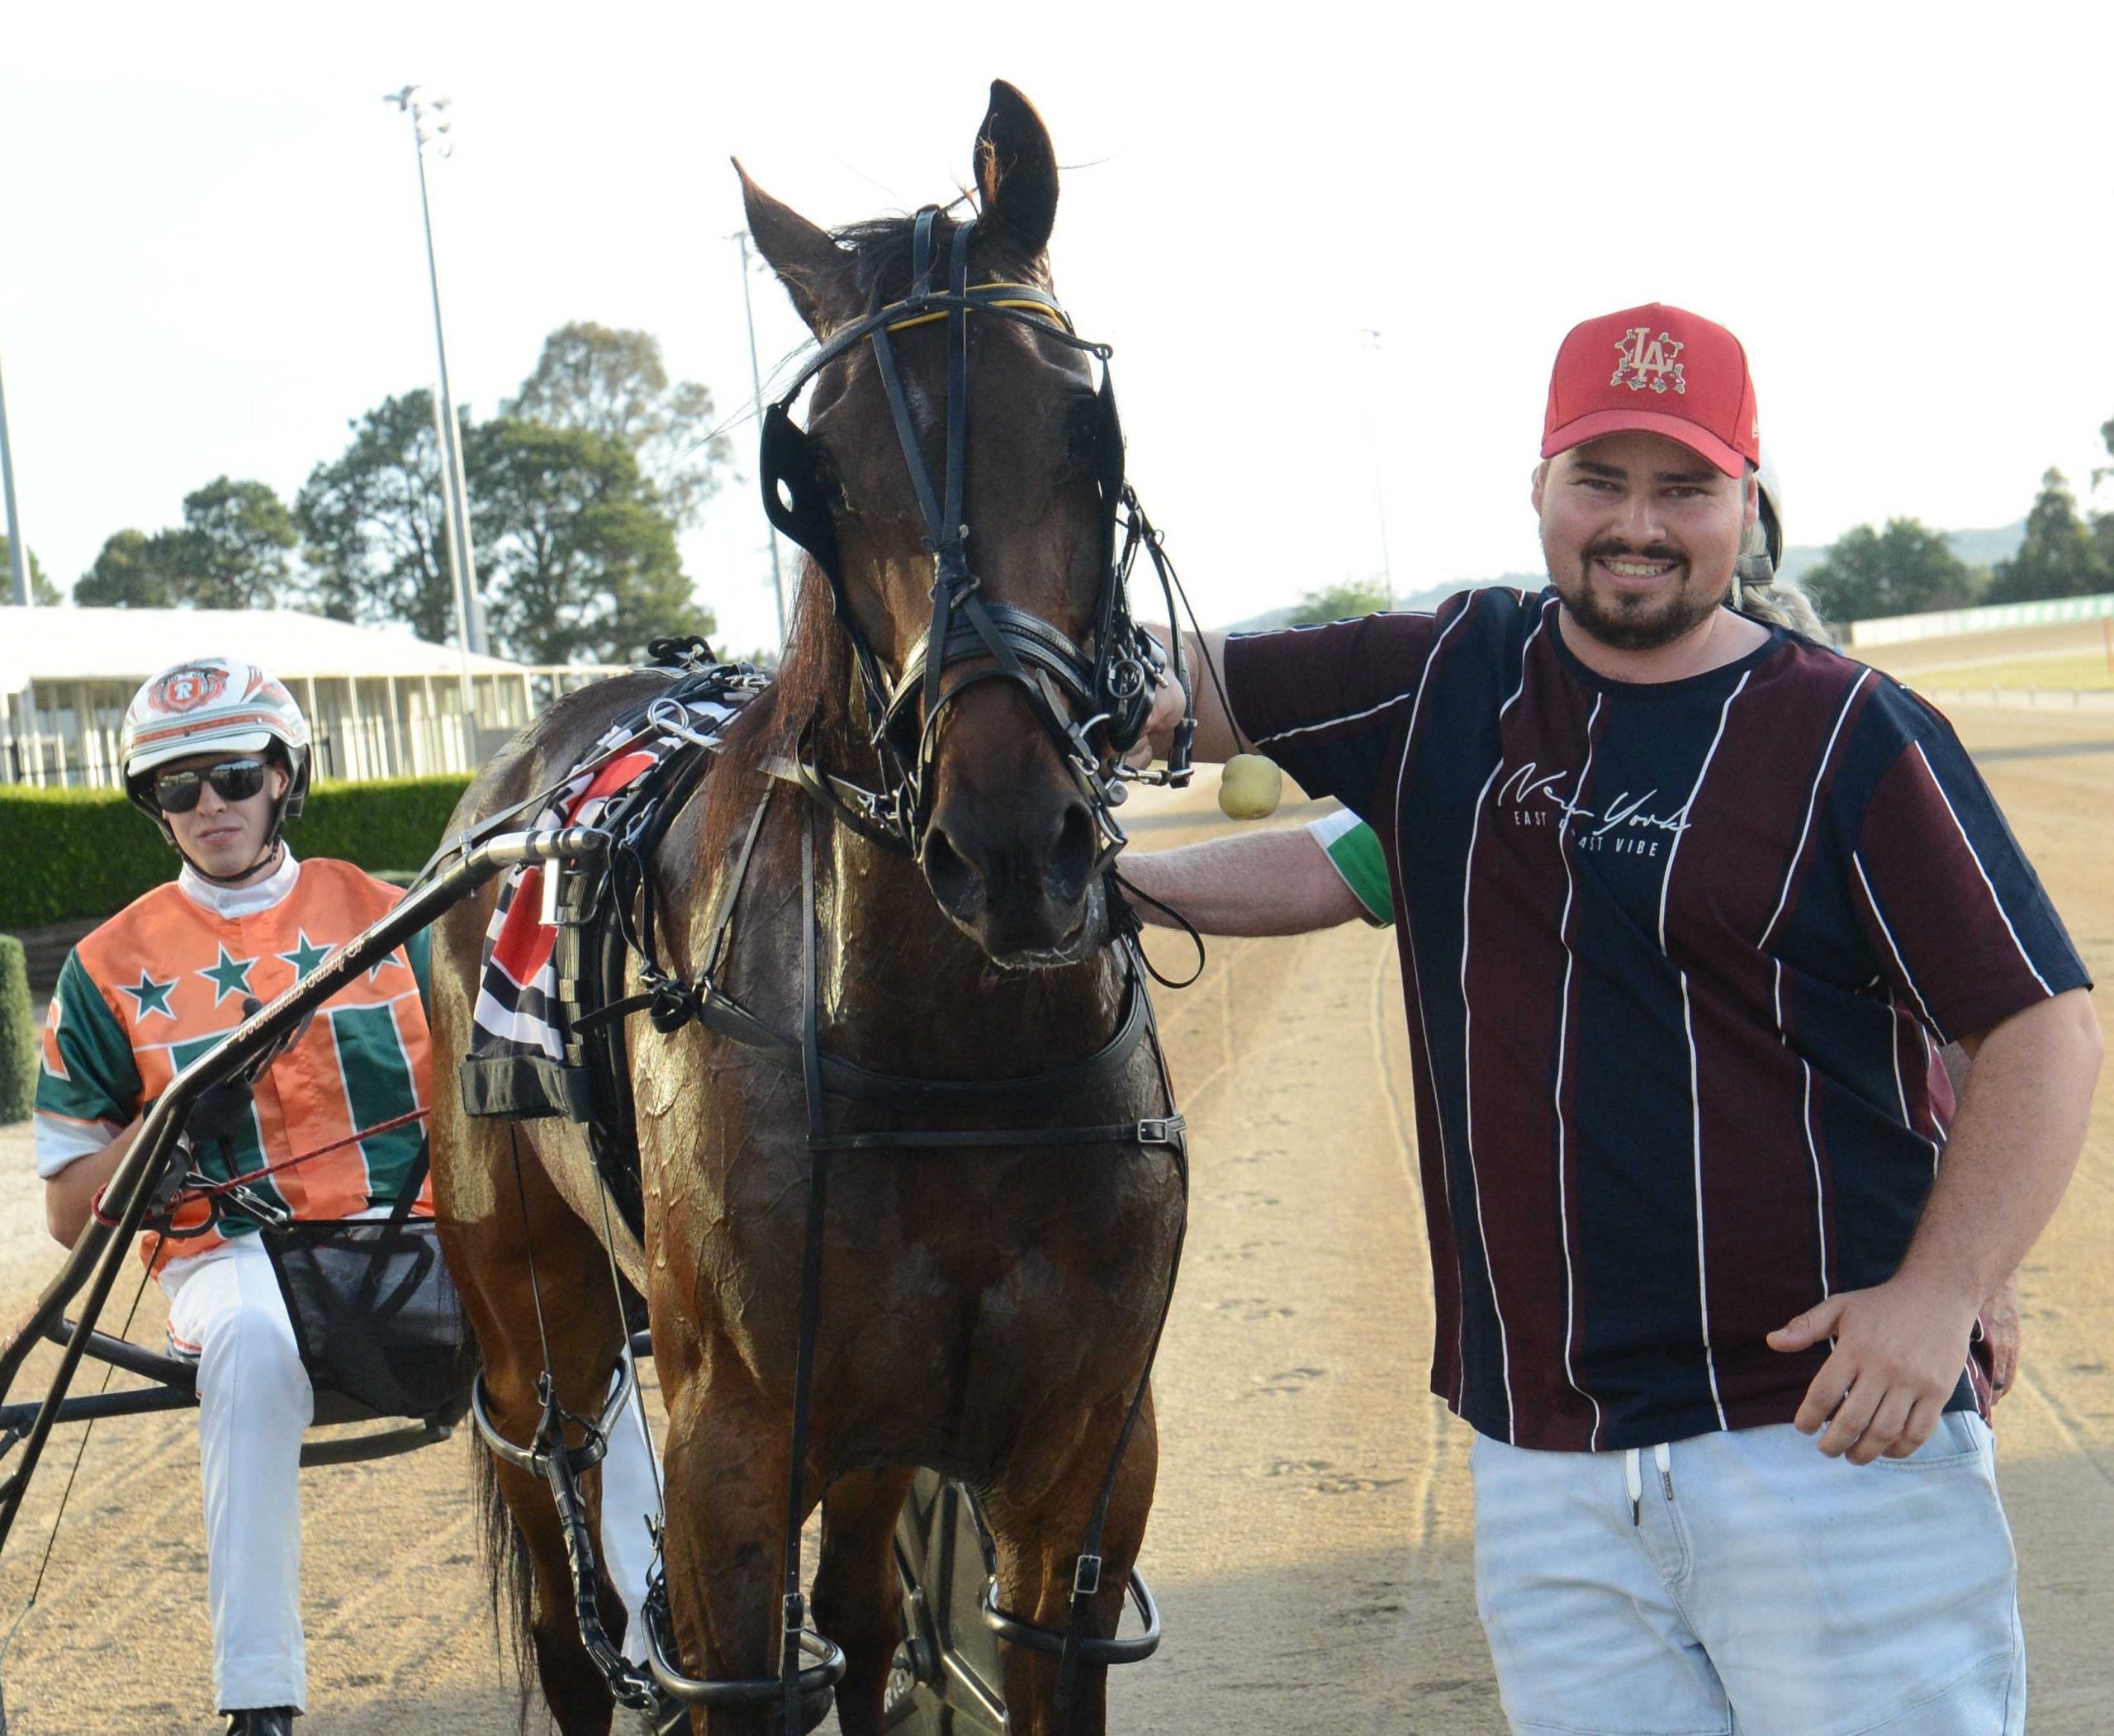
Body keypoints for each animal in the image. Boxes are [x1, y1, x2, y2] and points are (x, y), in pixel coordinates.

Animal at [424, 84, 1192, 1734]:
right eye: (813, 475)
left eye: (1085, 428)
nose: (1012, 845)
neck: (958, 1060)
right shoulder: (731, 1451)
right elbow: (736, 1652)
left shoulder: (1084, 1460)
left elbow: (940, 1621)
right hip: (528, 1320)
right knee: (566, 1586)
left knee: (856, 1608)